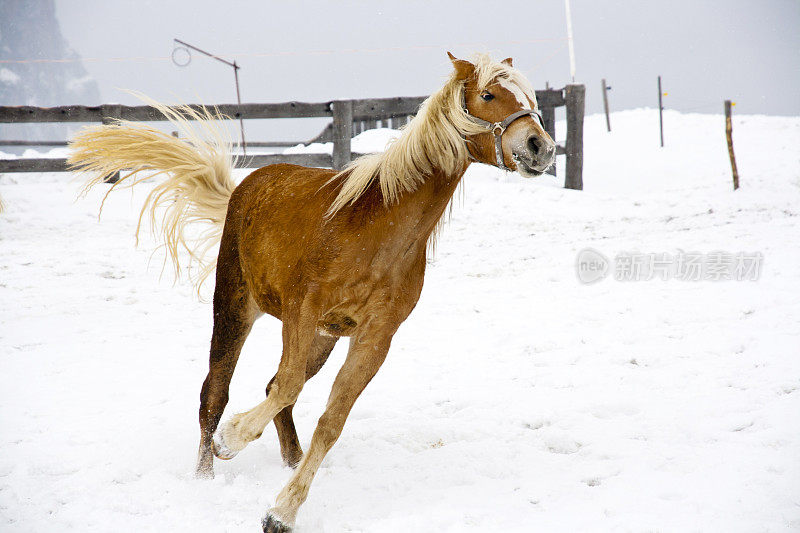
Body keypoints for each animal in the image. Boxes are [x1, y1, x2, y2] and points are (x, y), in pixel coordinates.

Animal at [69, 51, 556, 532]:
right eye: (488, 94)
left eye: (531, 97)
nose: (541, 147)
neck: (377, 230)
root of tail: (246, 186)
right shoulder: (302, 312)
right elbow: (285, 388)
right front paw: (232, 440)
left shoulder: (375, 337)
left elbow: (329, 418)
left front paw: (282, 511)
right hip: (235, 308)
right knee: (216, 393)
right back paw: (206, 474)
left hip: (323, 338)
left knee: (273, 389)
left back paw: (290, 460)